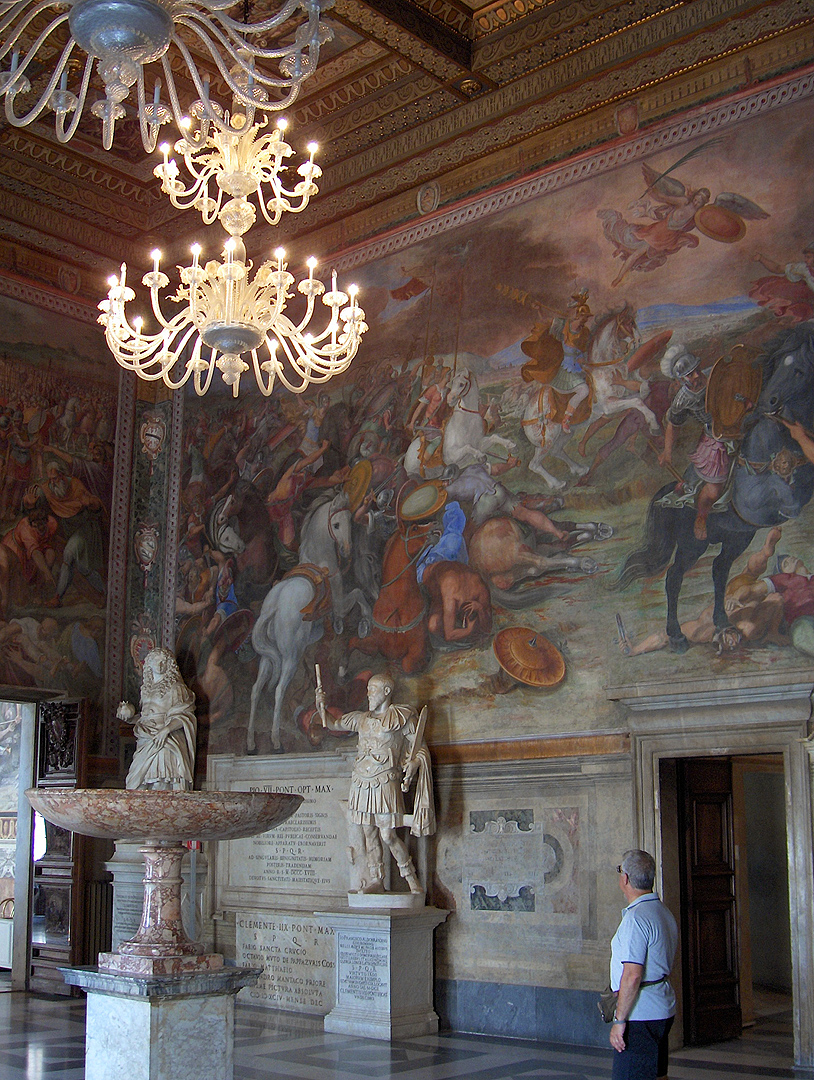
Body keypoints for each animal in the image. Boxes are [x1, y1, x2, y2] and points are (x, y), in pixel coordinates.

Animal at [613, 324, 811, 648]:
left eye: (798, 370)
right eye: (782, 365)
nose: (768, 402)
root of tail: (673, 490)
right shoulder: (759, 501)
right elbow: (788, 498)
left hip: (736, 538)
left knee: (719, 570)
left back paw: (722, 621)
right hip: (693, 544)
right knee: (674, 577)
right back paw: (676, 635)